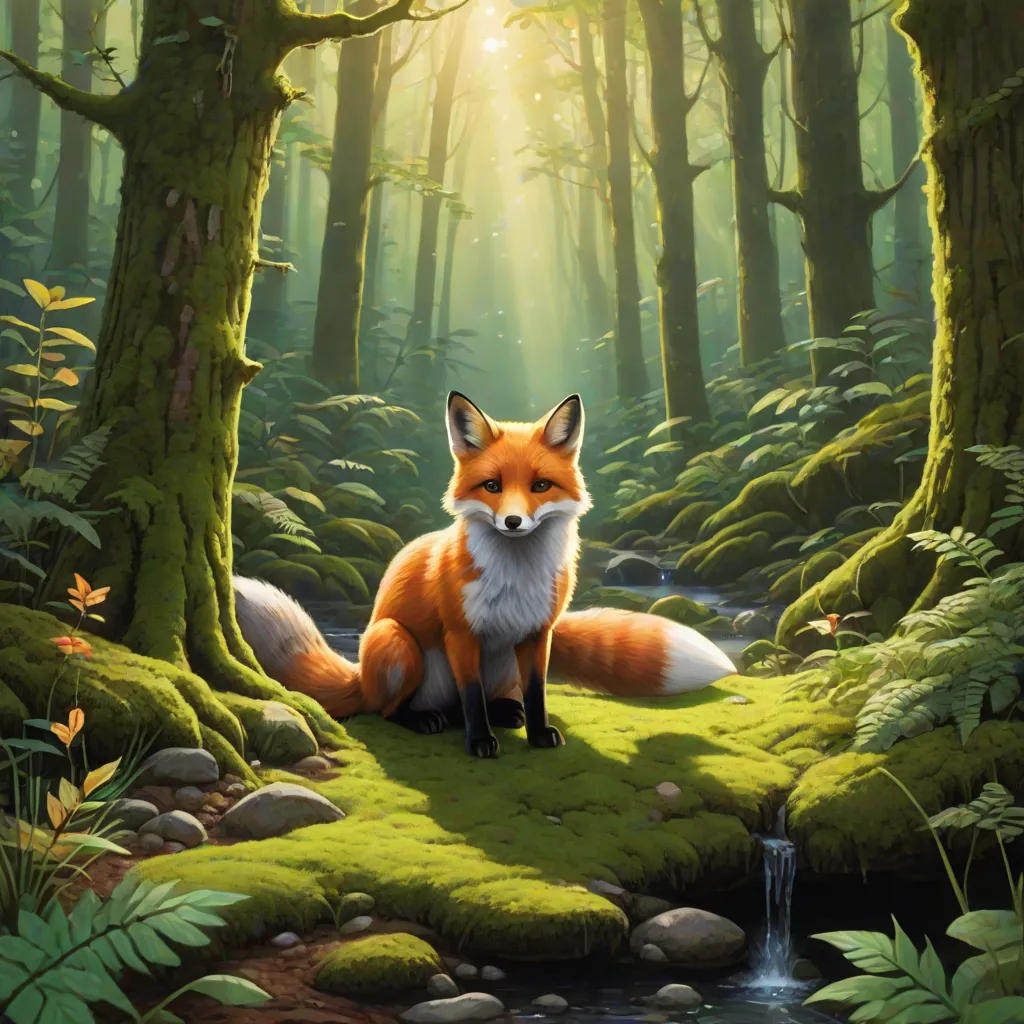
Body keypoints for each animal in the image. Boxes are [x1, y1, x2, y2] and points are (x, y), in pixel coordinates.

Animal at [233, 391, 736, 757]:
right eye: (492, 486)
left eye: (539, 485)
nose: (513, 522)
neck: (516, 578)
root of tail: (358, 677)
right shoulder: (461, 634)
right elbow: (471, 699)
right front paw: (479, 743)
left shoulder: (538, 633)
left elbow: (536, 694)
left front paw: (538, 734)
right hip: (398, 644)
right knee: (388, 708)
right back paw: (424, 719)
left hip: (500, 660)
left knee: (484, 700)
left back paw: (505, 714)